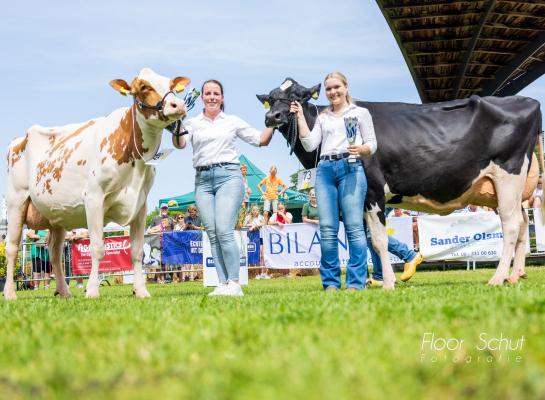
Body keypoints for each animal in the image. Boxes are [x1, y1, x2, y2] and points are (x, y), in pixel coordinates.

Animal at [4, 69, 190, 300]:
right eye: (144, 86)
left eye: (171, 85)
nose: (178, 105)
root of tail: (18, 139)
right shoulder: (93, 197)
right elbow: (97, 248)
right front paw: (92, 290)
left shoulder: (141, 203)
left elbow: (137, 251)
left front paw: (141, 290)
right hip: (16, 201)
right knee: (11, 247)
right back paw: (10, 293)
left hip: (56, 215)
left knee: (54, 252)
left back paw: (64, 292)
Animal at [258, 78, 540, 290]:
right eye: (271, 98)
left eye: (298, 95)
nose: (272, 116)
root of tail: (529, 101)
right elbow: (366, 239)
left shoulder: (373, 192)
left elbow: (379, 240)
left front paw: (388, 283)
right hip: (503, 189)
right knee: (523, 223)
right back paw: (515, 275)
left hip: (508, 177)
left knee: (511, 225)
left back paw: (498, 278)